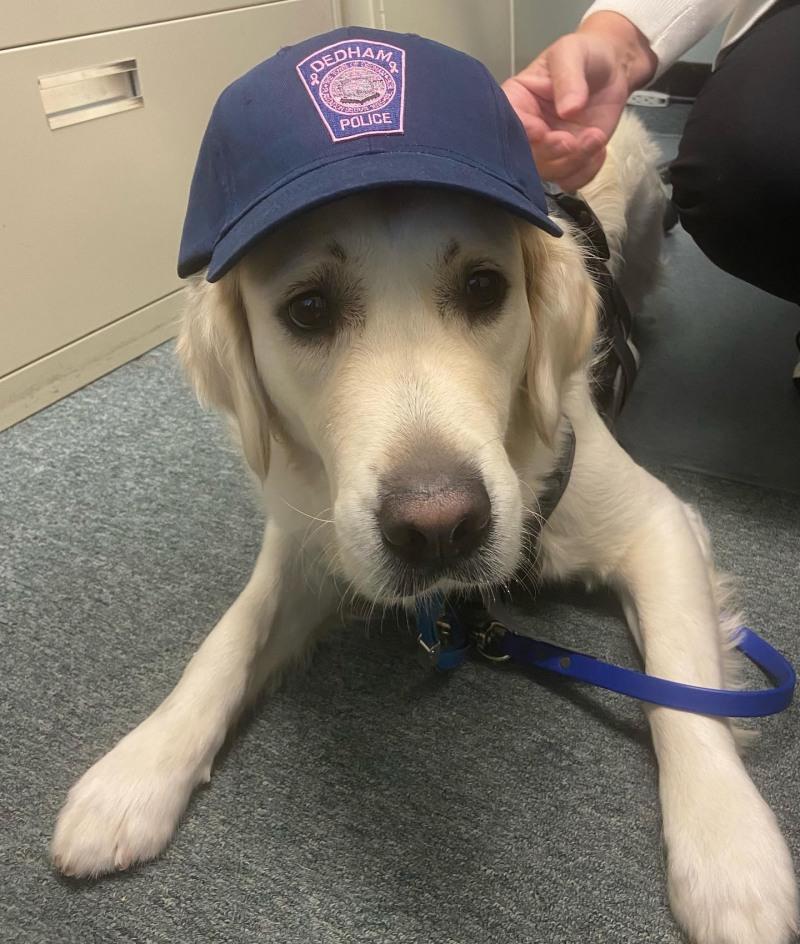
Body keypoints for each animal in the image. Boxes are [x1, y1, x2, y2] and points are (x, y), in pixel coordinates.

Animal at [53, 107, 796, 940]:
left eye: (484, 288)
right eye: (307, 309)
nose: (440, 528)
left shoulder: (659, 524)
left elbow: (683, 685)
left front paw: (731, 859)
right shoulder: (312, 538)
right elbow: (228, 641)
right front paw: (136, 772)